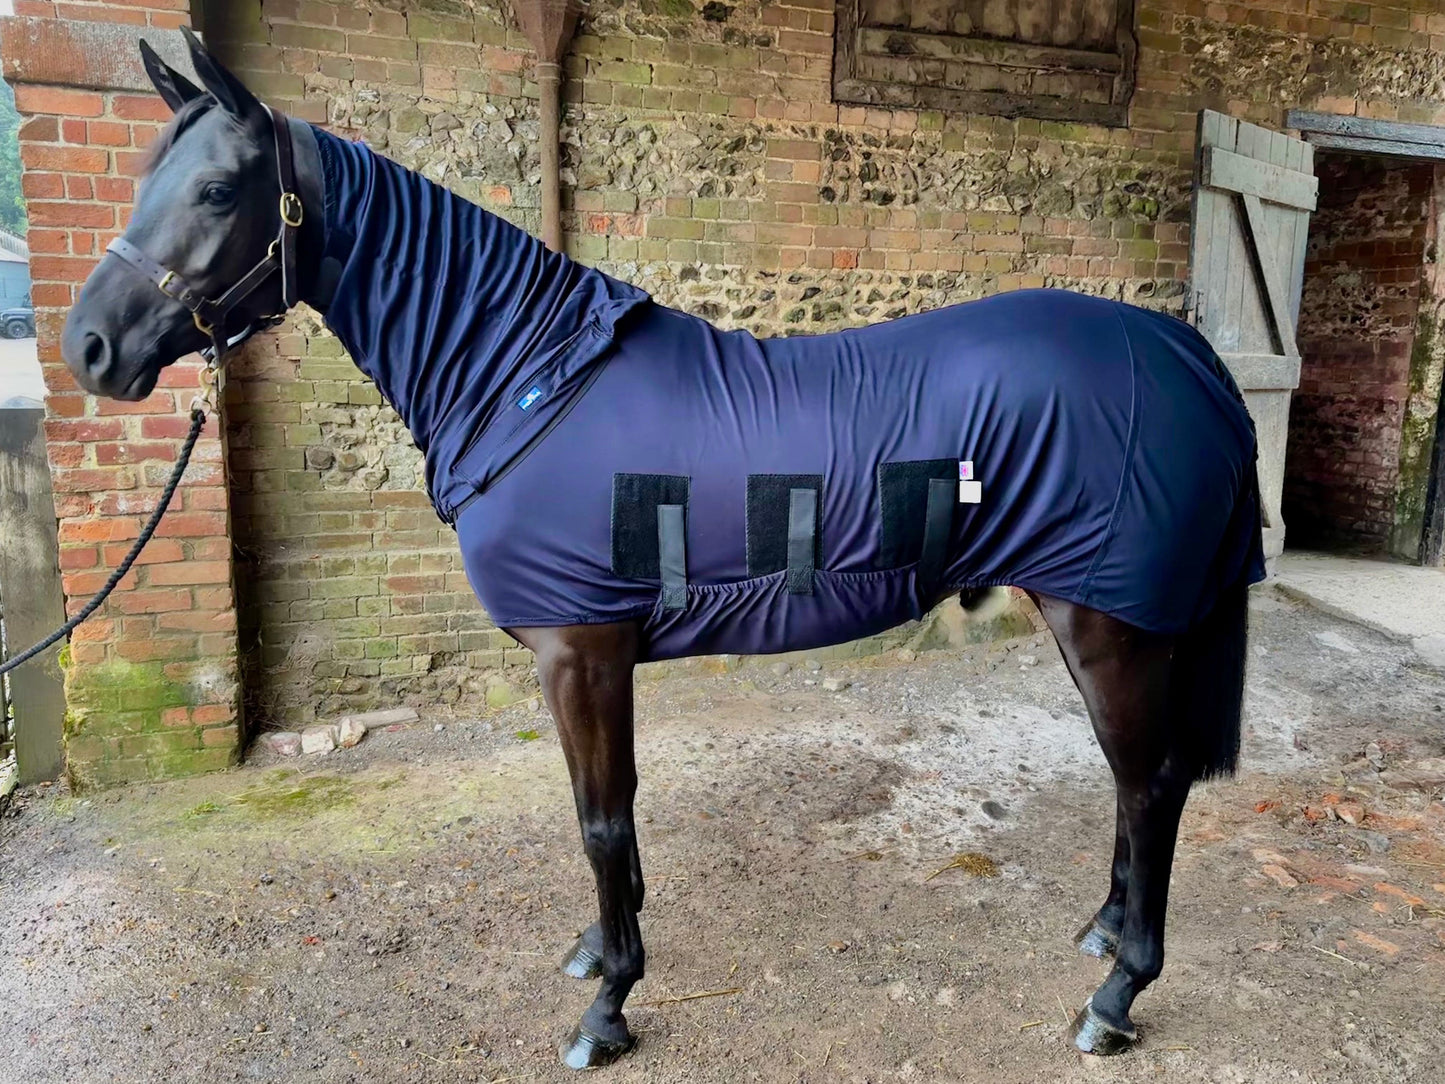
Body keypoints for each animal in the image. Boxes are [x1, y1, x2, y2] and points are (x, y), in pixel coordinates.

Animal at [61, 30, 1263, 1070]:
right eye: (147, 180)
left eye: (218, 191)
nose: (89, 347)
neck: (527, 377)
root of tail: (1186, 351)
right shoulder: (595, 656)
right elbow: (613, 820)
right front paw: (603, 952)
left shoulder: (579, 651)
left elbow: (599, 821)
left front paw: (608, 1008)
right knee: (1130, 783)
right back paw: (1101, 931)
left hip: (1107, 621)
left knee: (1150, 784)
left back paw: (1115, 995)